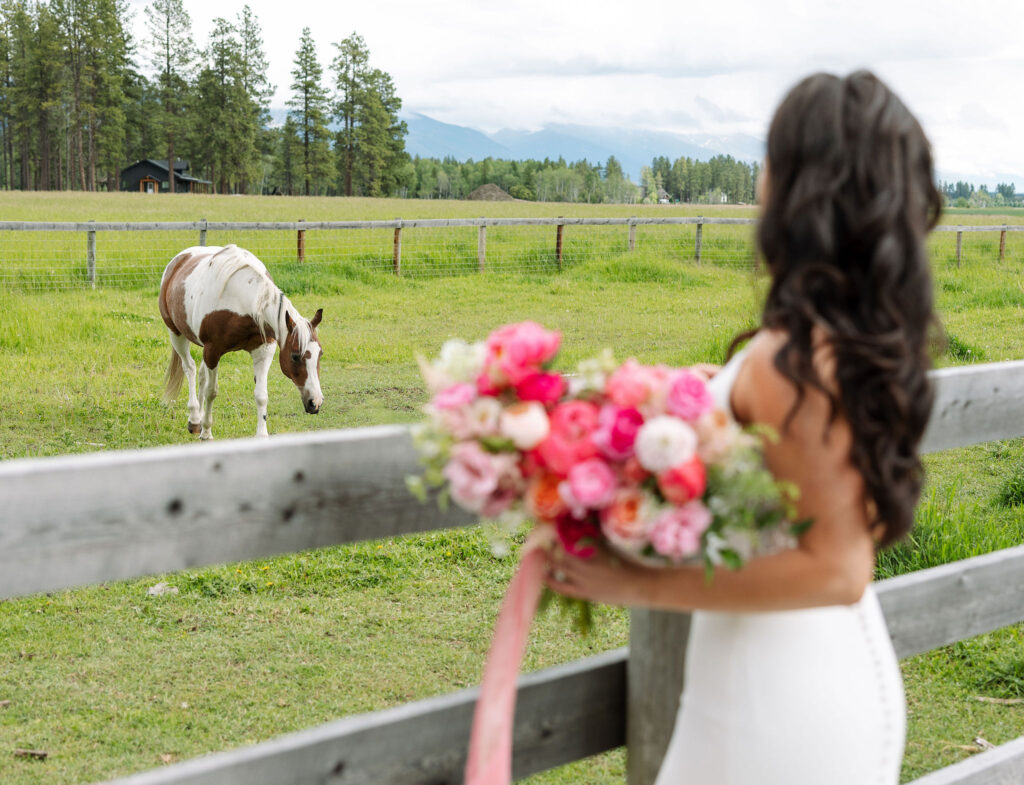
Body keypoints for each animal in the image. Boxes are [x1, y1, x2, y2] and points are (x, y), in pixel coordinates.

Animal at [158, 243, 323, 438]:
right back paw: (195, 419)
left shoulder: (263, 350)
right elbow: (212, 392)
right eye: (295, 356)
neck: (241, 301)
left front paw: (262, 435)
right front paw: (206, 431)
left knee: (201, 374)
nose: (315, 402)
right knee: (189, 368)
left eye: (320, 354)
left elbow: (261, 395)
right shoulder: (212, 352)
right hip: (176, 334)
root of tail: (178, 260)